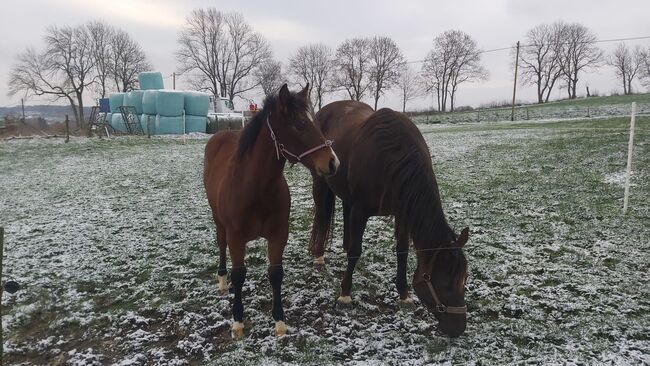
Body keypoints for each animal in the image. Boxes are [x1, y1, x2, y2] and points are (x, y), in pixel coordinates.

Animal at [204, 84, 340, 338]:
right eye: (300, 125)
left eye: (315, 122)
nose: (333, 163)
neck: (255, 188)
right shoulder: (236, 237)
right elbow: (239, 275)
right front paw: (238, 321)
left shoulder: (279, 235)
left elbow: (276, 274)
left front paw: (279, 321)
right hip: (218, 220)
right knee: (221, 244)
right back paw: (222, 280)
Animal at [308, 100, 466, 338]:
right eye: (446, 284)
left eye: (464, 280)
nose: (459, 328)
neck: (391, 159)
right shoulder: (361, 210)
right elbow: (356, 251)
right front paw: (345, 293)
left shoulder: (402, 213)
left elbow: (402, 251)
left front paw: (404, 294)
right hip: (321, 183)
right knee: (321, 215)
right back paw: (319, 255)